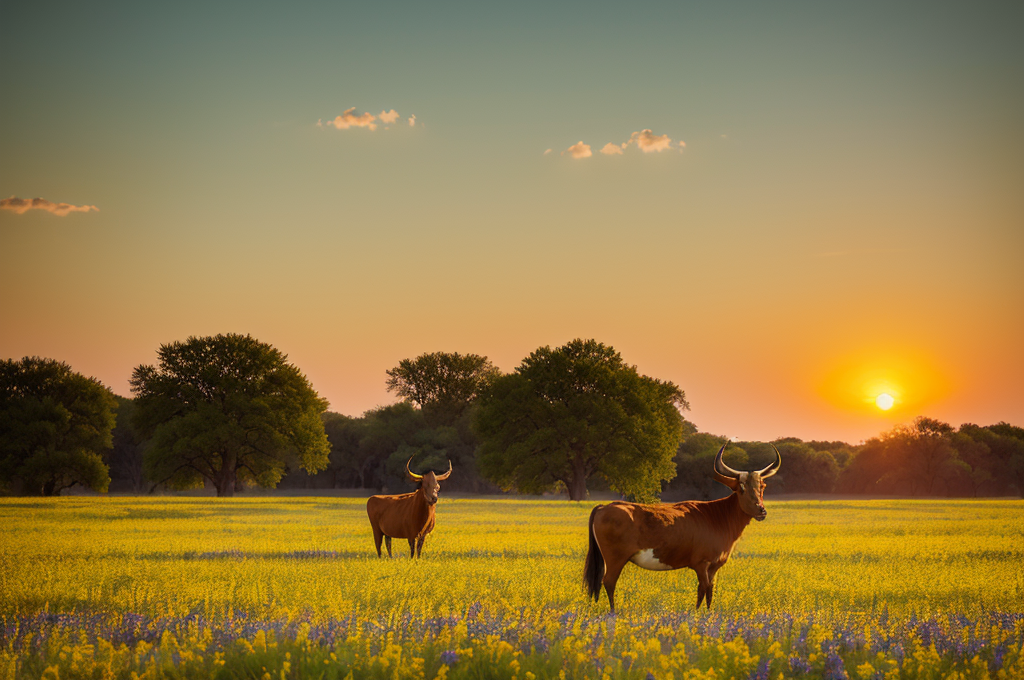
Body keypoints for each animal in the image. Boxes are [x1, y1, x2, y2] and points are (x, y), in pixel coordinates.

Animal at [589, 444, 778, 614]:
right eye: (742, 488)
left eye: (762, 487)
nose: (761, 510)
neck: (717, 516)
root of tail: (604, 507)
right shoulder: (701, 564)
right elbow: (703, 589)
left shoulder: (714, 567)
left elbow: (710, 591)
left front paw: (708, 614)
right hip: (615, 559)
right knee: (609, 581)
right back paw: (613, 612)